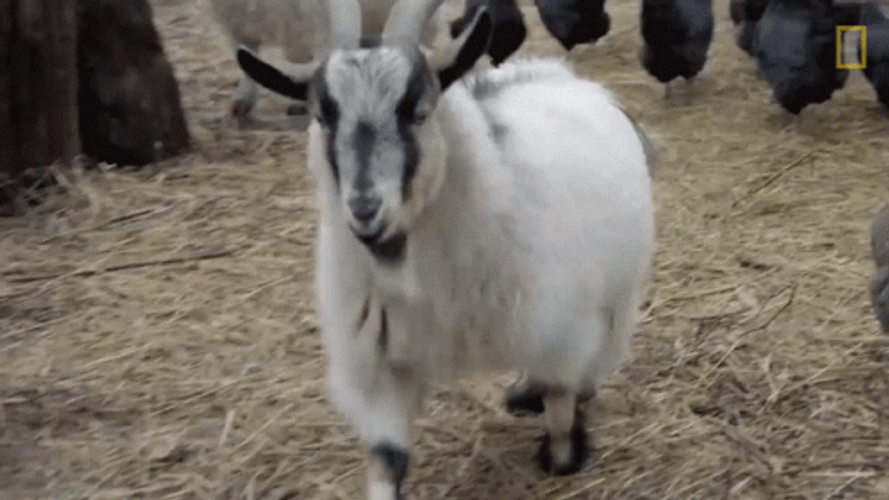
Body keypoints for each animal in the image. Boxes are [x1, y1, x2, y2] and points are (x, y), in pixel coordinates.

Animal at [236, 0, 655, 498]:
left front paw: (565, 445)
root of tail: (555, 74)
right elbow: (387, 459)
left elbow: (561, 435)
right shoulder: (378, 367)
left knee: (594, 360)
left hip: (617, 297)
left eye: (417, 111)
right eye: (323, 117)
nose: (365, 211)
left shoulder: (562, 333)